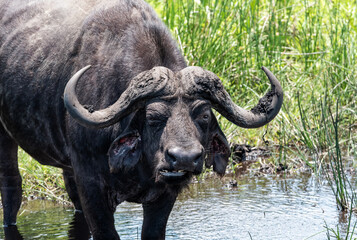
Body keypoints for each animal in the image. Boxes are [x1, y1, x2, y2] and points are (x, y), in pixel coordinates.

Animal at [0, 0, 284, 239]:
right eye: (152, 117)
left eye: (203, 115)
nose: (184, 158)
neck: (141, 168)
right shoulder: (91, 186)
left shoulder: (164, 195)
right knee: (12, 187)